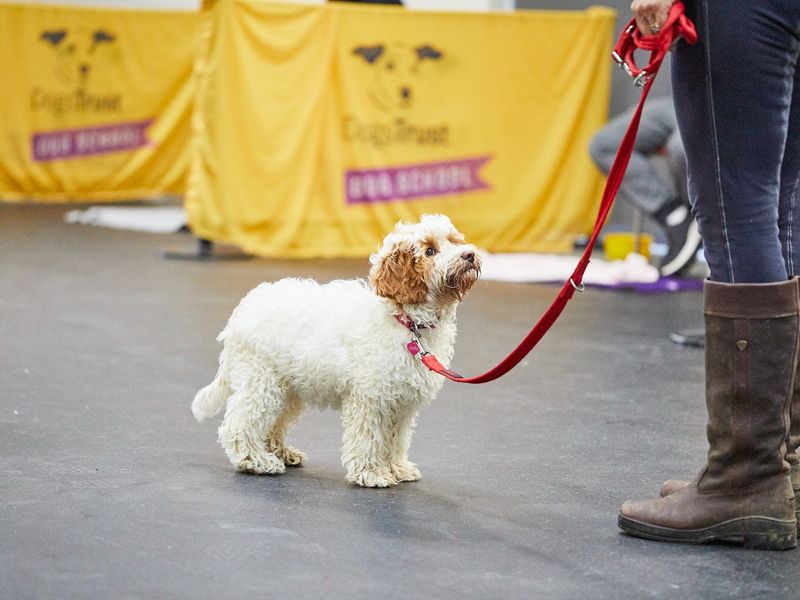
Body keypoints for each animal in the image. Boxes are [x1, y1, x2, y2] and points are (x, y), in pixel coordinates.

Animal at [192, 216, 482, 488]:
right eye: (430, 250)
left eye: (454, 240)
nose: (469, 254)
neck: (407, 321)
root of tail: (244, 309)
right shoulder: (371, 398)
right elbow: (369, 438)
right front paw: (371, 473)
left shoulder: (402, 402)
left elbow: (396, 440)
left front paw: (397, 468)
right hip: (262, 381)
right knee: (240, 425)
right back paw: (256, 461)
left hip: (288, 387)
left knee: (273, 423)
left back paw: (282, 452)